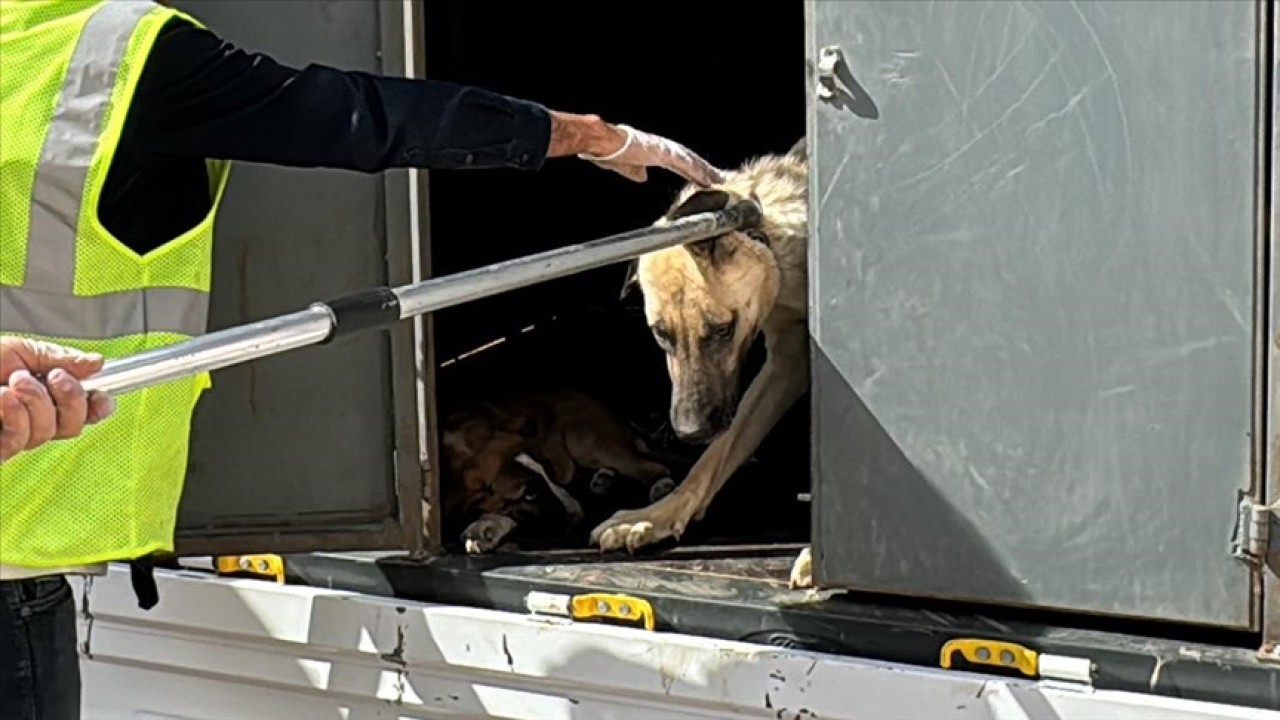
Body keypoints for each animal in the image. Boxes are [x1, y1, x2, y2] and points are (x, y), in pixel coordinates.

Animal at [440, 389, 680, 550]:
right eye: (529, 493)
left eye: (548, 469)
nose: (579, 514)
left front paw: (487, 526)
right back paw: (602, 480)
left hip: (584, 440)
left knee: (652, 466)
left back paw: (661, 486)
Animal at [586, 141, 814, 589]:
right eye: (661, 334)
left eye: (723, 330)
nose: (688, 431)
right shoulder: (786, 362)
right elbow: (715, 456)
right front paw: (656, 517)